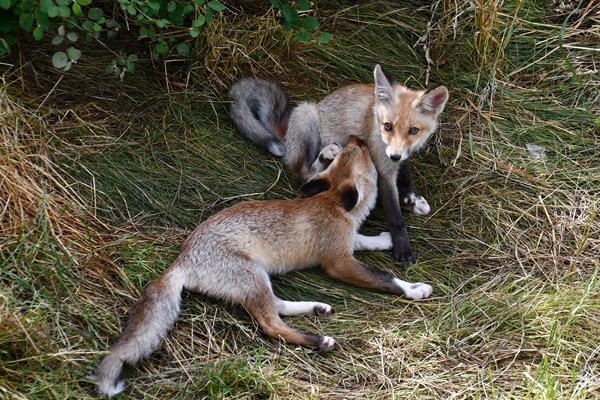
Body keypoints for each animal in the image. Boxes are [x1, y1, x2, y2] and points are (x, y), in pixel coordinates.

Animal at [91, 138, 434, 396]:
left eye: (352, 151)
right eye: (363, 154)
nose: (357, 138)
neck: (334, 208)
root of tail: (182, 258)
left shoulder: (346, 244)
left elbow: (368, 242)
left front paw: (387, 240)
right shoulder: (338, 262)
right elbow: (385, 277)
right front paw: (413, 289)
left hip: (258, 281)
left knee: (277, 308)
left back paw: (317, 308)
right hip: (253, 278)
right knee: (270, 325)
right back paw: (318, 341)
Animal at [230, 64, 450, 264]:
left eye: (413, 131)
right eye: (387, 126)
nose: (394, 156)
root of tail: (287, 132)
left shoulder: (402, 158)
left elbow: (405, 178)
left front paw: (410, 199)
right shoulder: (383, 168)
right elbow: (395, 216)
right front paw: (402, 247)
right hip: (307, 113)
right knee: (305, 173)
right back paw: (325, 158)